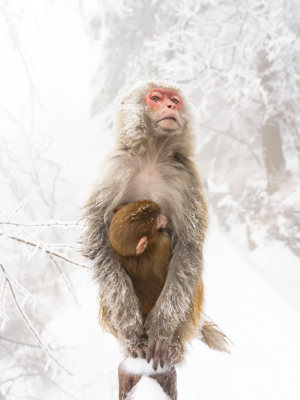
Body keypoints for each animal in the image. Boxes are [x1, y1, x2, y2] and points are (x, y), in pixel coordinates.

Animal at [81, 81, 227, 372]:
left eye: (175, 101)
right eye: (156, 98)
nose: (170, 106)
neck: (154, 153)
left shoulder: (187, 178)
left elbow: (189, 247)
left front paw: (161, 330)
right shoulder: (116, 168)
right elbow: (97, 237)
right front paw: (128, 322)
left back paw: (173, 345)